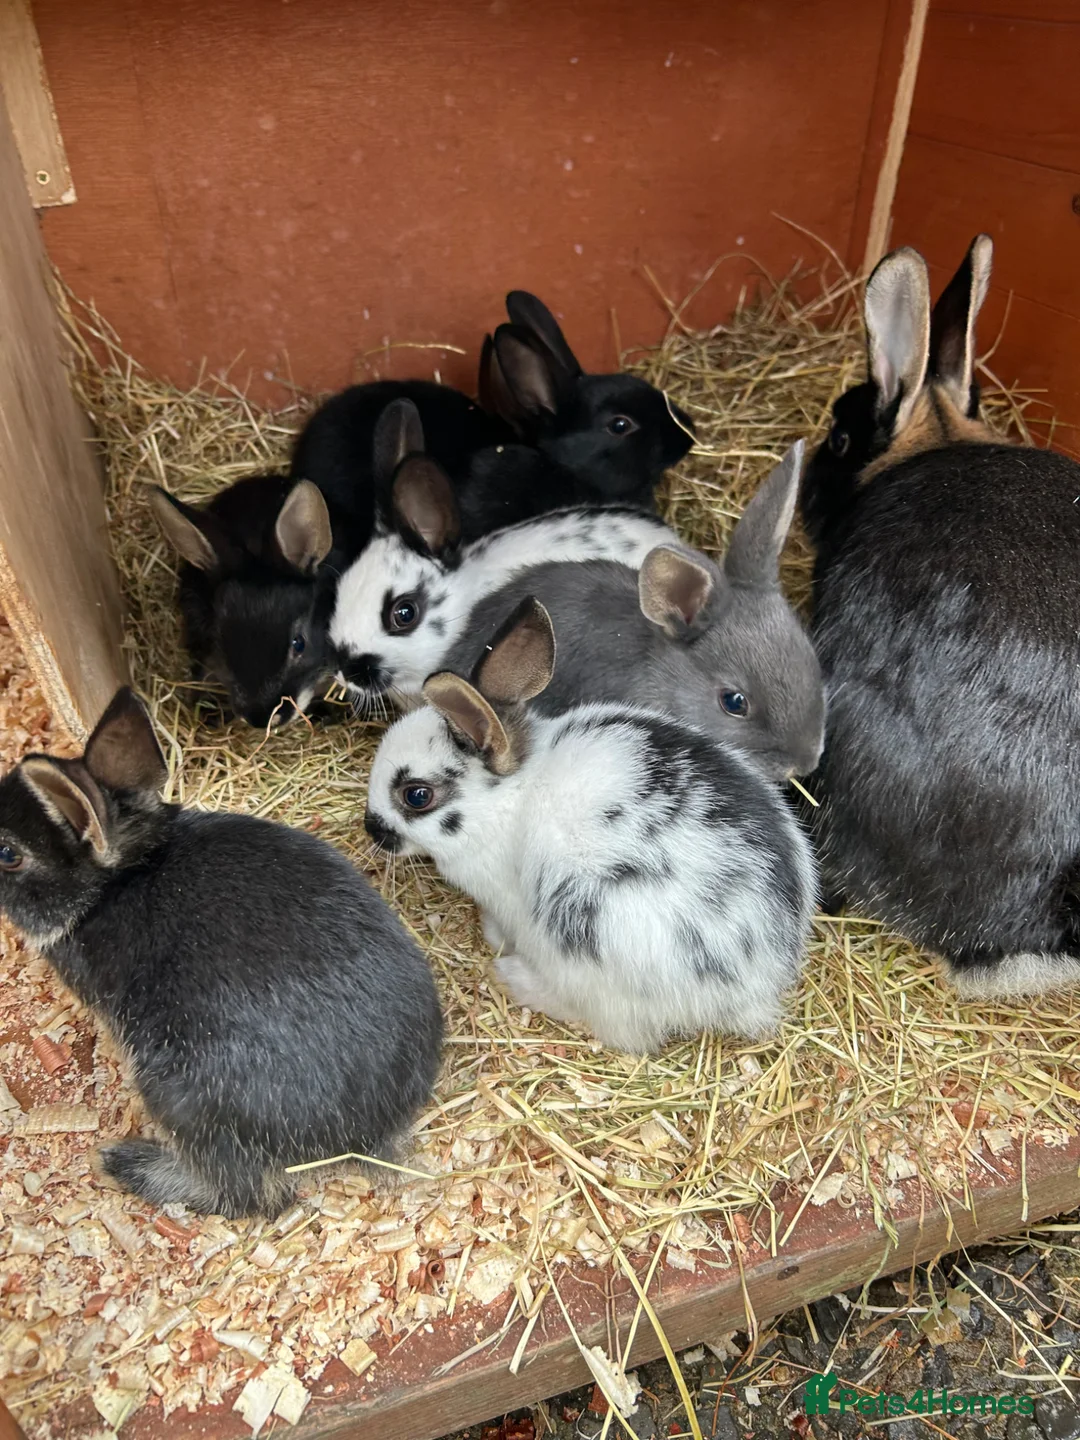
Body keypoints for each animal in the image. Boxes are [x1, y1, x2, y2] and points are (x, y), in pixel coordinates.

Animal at [0, 687, 443, 1216]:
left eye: (7, 854)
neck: (115, 880)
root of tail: (361, 1137)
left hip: (180, 1093)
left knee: (245, 1194)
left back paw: (123, 1163)